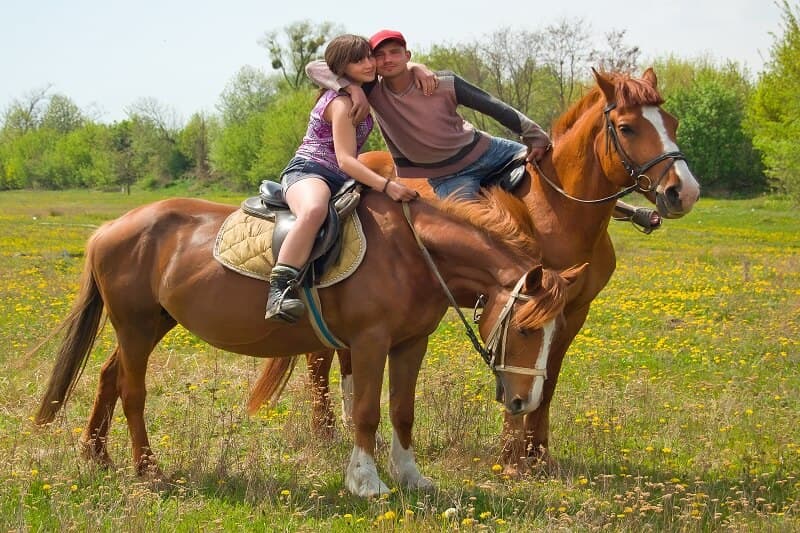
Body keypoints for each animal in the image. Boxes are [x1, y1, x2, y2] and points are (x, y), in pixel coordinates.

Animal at [34, 185, 587, 497]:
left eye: (556, 331)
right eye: (526, 328)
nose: (524, 401)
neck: (413, 252)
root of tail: (109, 227)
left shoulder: (411, 343)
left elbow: (402, 412)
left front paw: (411, 477)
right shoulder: (368, 342)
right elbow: (365, 412)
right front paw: (366, 481)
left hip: (150, 325)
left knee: (108, 378)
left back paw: (96, 456)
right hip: (135, 325)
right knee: (132, 391)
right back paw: (147, 471)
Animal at [253, 67, 701, 473]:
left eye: (673, 123)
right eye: (627, 127)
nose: (684, 191)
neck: (558, 210)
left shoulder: (571, 313)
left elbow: (547, 381)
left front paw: (539, 455)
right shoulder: (517, 303)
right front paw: (511, 457)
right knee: (318, 360)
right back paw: (326, 433)